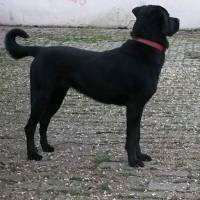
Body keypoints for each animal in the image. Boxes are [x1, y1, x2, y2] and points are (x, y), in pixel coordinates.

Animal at [5, 5, 180, 167]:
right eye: (168, 15)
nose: (178, 20)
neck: (145, 47)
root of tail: (40, 51)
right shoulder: (134, 106)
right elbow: (131, 136)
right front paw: (133, 161)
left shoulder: (138, 107)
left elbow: (137, 135)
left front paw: (141, 156)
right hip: (41, 96)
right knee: (30, 126)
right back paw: (32, 154)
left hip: (56, 97)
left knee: (44, 121)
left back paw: (46, 147)